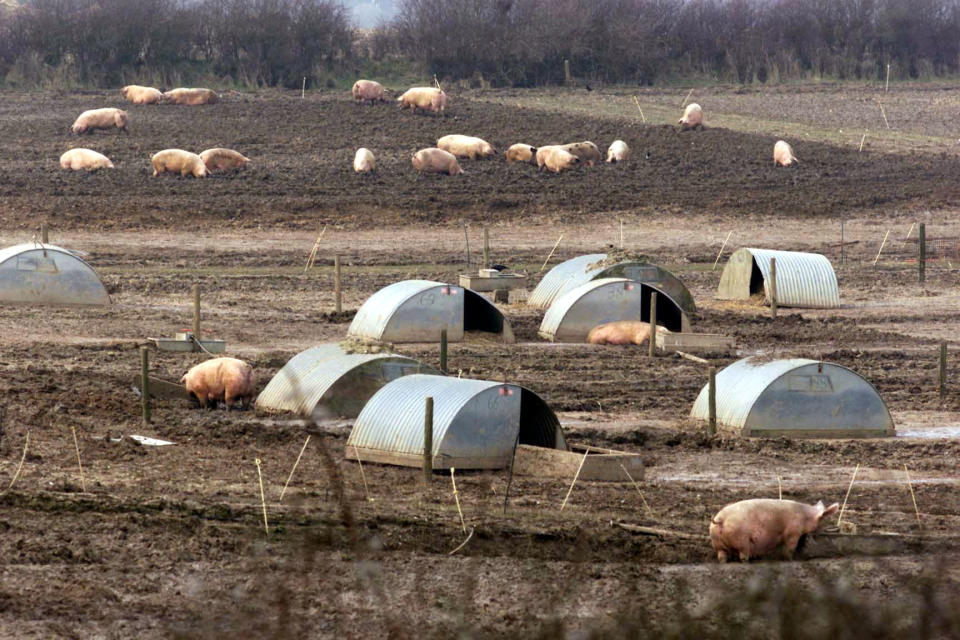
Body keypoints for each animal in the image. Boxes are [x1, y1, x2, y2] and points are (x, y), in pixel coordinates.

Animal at [708, 498, 836, 564]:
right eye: (822, 519)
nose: (822, 530)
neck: (805, 516)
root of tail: (720, 519)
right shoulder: (793, 532)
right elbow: (789, 548)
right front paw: (791, 560)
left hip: (716, 542)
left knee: (722, 556)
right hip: (742, 540)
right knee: (743, 556)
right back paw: (749, 563)